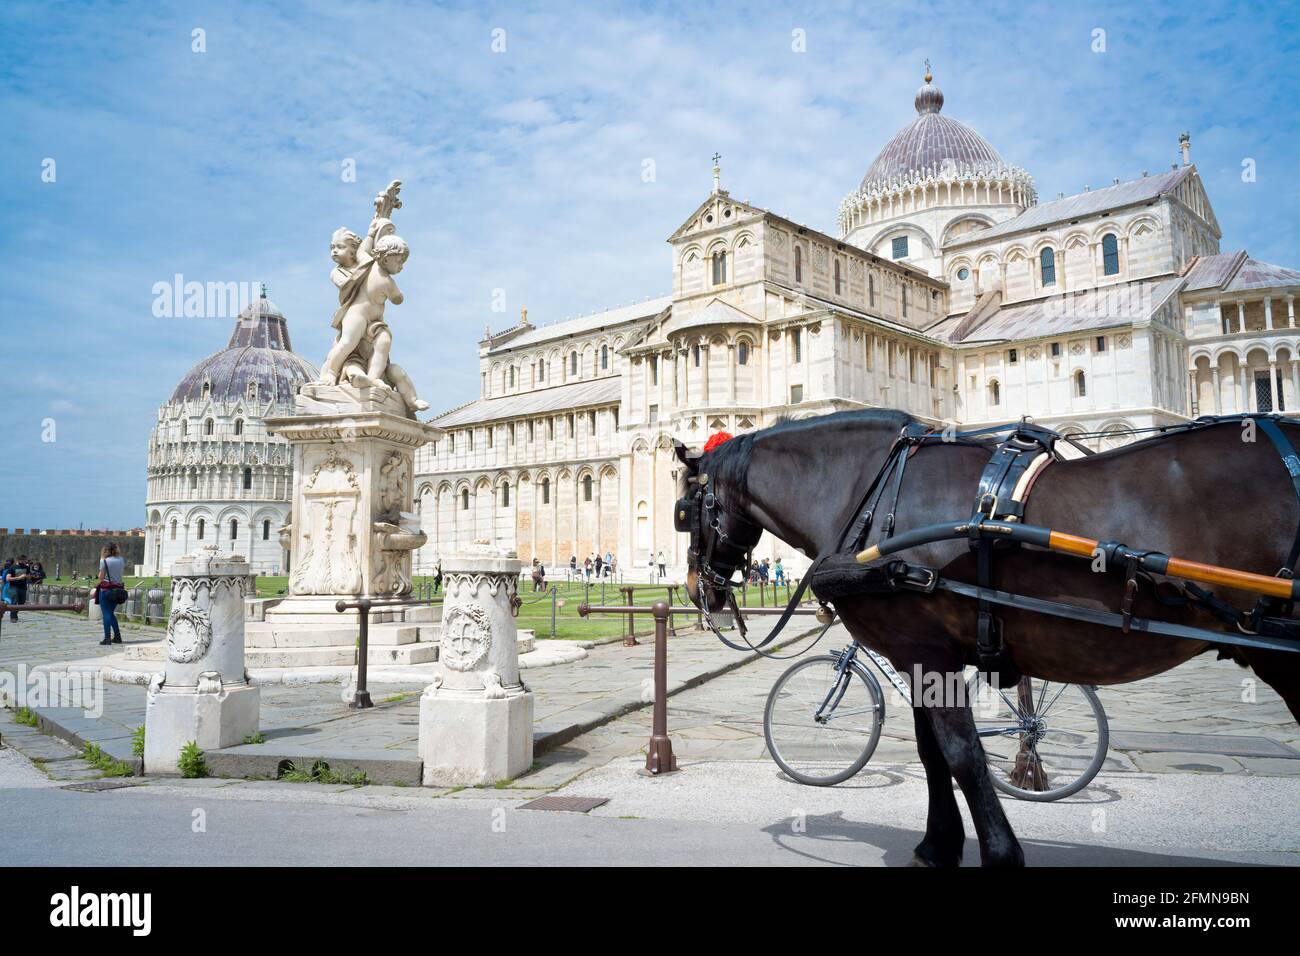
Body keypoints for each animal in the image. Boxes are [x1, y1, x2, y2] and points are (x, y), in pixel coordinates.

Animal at [676, 411, 1300, 868]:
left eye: (683, 511)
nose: (694, 590)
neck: (872, 491)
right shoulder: (920, 658)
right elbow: (931, 754)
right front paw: (938, 846)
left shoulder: (927, 654)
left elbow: (963, 755)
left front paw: (999, 853)